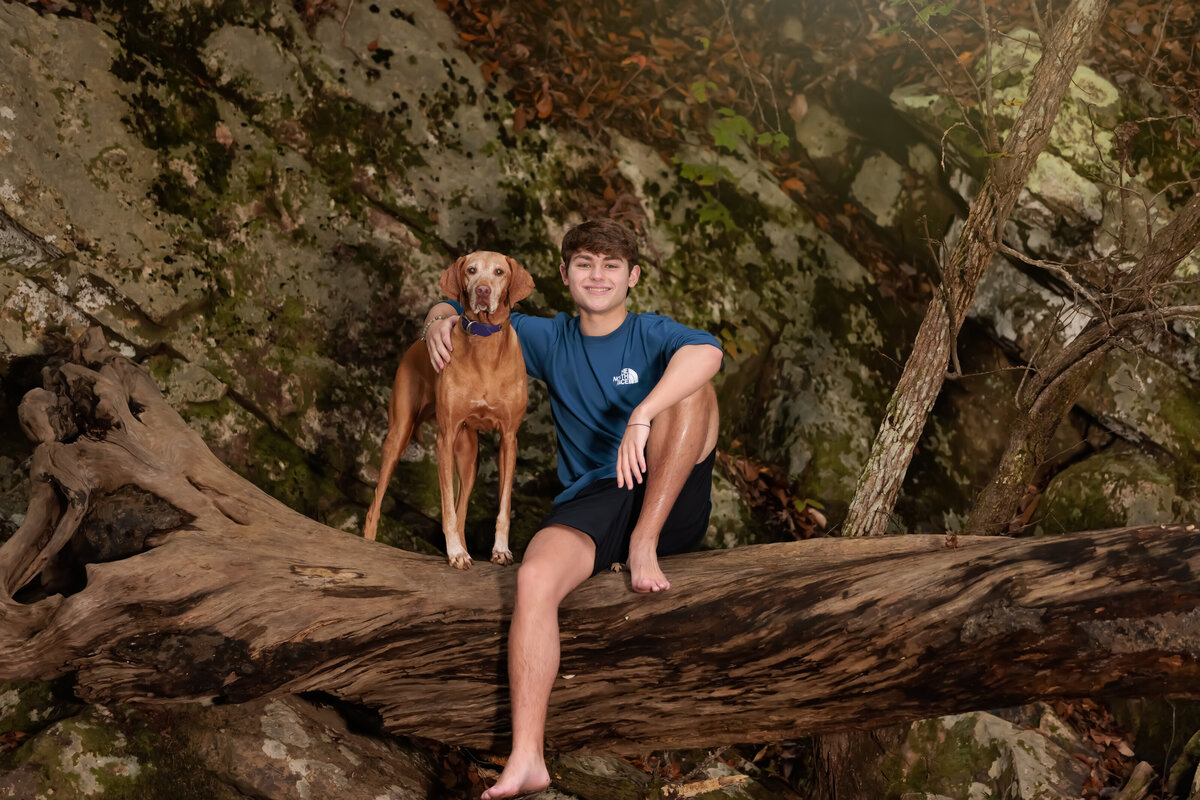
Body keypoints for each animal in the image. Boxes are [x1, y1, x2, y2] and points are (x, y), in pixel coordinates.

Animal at [362, 251, 532, 568]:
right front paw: (454, 552)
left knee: (463, 509)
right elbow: (447, 509)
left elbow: (503, 506)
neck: (484, 343)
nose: (482, 291)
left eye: (499, 272)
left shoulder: (509, 439)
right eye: (471, 270)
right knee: (376, 502)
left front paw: (500, 550)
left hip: (469, 457)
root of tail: (418, 343)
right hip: (399, 434)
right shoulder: (445, 436)